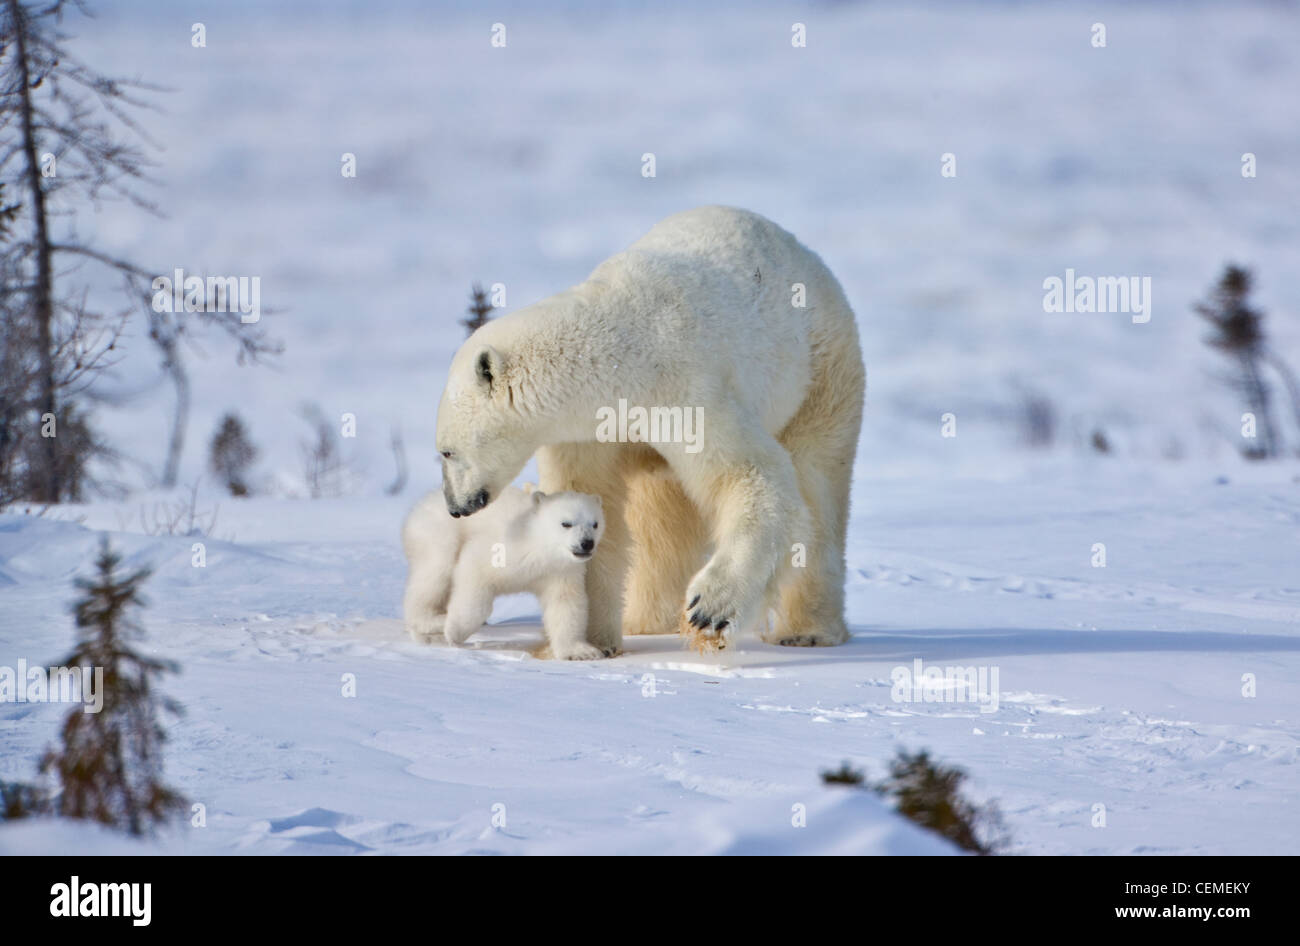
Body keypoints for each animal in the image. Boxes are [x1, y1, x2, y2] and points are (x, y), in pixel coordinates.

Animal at [436, 205, 863, 657]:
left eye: (446, 451)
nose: (455, 507)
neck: (615, 357)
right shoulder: (587, 432)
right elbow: (591, 498)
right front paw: (590, 640)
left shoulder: (684, 388)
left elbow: (748, 473)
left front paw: (709, 610)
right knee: (661, 519)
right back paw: (644, 620)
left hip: (820, 367)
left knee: (817, 481)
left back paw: (807, 630)